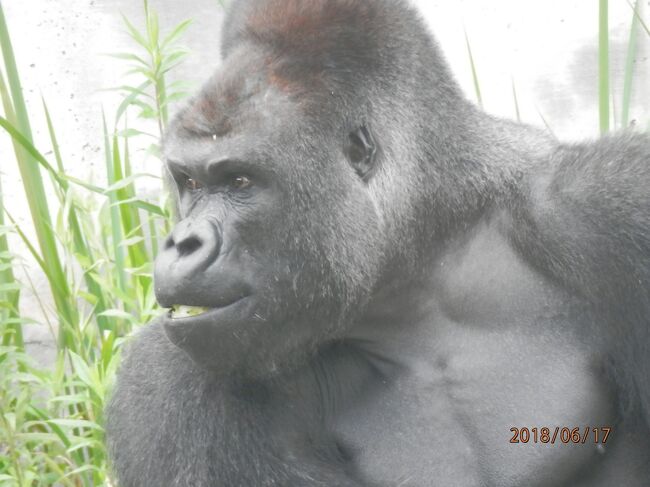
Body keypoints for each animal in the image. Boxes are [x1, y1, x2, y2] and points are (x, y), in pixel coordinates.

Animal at [105, 0, 648, 486]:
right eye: (189, 183)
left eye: (240, 181)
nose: (182, 242)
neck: (425, 262)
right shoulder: (170, 384)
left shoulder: (611, 206)